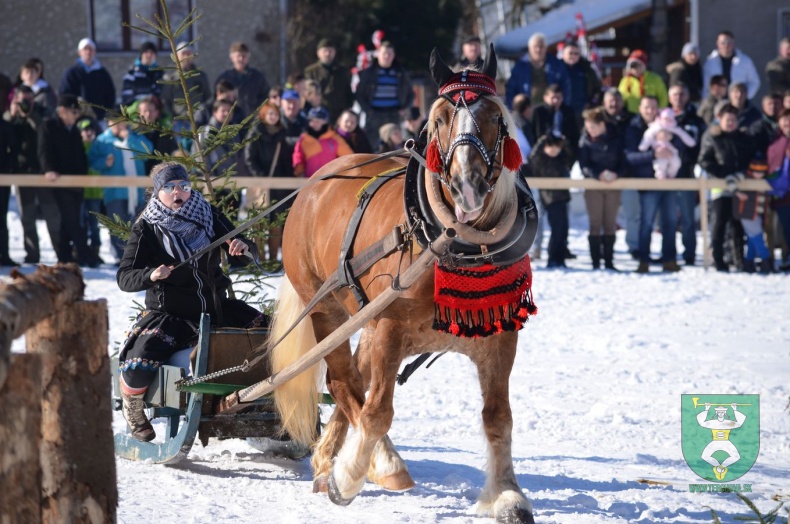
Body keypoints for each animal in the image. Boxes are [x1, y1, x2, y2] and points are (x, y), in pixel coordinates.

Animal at [270, 47, 540, 520]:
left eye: (494, 115)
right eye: (441, 118)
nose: (468, 183)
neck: (451, 243)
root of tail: (316, 183)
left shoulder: (500, 337)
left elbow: (498, 417)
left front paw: (507, 495)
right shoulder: (391, 329)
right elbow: (377, 412)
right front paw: (351, 477)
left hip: (365, 324)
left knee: (350, 384)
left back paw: (326, 461)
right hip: (328, 311)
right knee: (346, 385)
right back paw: (374, 465)